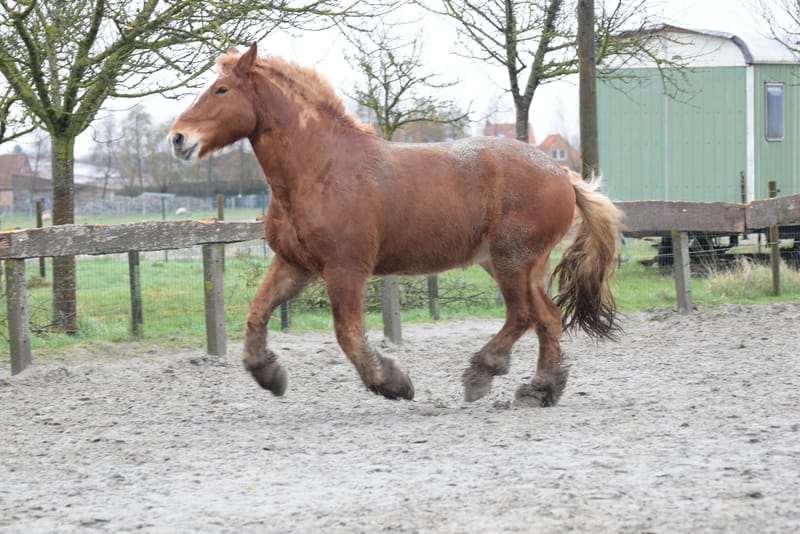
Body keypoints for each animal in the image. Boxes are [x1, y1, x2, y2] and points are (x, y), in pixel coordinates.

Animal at [169, 43, 622, 407]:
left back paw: (483, 373)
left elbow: (348, 334)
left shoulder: (345, 270)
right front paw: (268, 374)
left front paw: (392, 383)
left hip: (512, 260)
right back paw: (539, 390)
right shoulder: (294, 265)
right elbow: (256, 313)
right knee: (547, 317)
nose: (177, 138)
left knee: (523, 315)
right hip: (515, 264)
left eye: (221, 90)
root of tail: (563, 173)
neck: (320, 169)